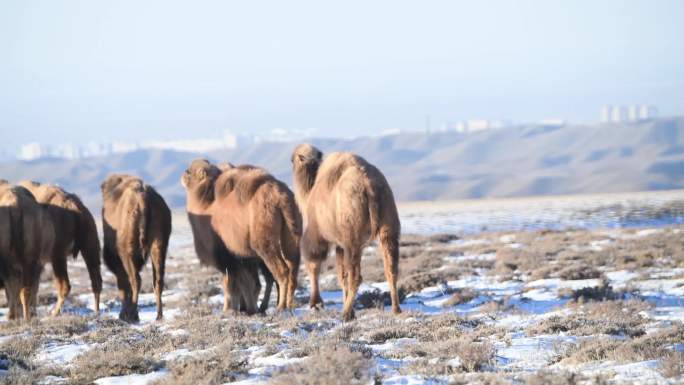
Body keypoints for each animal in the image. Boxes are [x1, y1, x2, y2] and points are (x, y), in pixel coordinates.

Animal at [19, 181, 102, 316]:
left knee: (64, 286)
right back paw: (96, 312)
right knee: (96, 280)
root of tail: (76, 209)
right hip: (90, 243)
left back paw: (53, 315)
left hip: (57, 254)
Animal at [101, 174, 171, 320]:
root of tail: (143, 199)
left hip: (127, 252)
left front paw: (124, 314)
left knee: (135, 280)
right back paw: (158, 315)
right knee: (158, 280)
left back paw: (132, 314)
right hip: (159, 247)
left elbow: (123, 284)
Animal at [180, 159, 300, 312]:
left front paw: (228, 310)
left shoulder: (227, 259)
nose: (182, 175)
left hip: (264, 244)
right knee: (291, 270)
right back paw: (285, 305)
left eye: (189, 171)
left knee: (281, 272)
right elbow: (249, 284)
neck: (205, 208)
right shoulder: (244, 259)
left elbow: (231, 285)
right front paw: (247, 308)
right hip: (291, 232)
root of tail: (280, 197)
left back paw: (280, 306)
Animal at [290, 142, 400, 320]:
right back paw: (396, 309)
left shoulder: (317, 233)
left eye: (292, 159)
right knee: (391, 268)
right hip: (389, 223)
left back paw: (345, 313)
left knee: (356, 276)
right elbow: (342, 276)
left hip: (352, 236)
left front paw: (316, 304)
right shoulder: (339, 244)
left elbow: (314, 263)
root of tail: (370, 186)